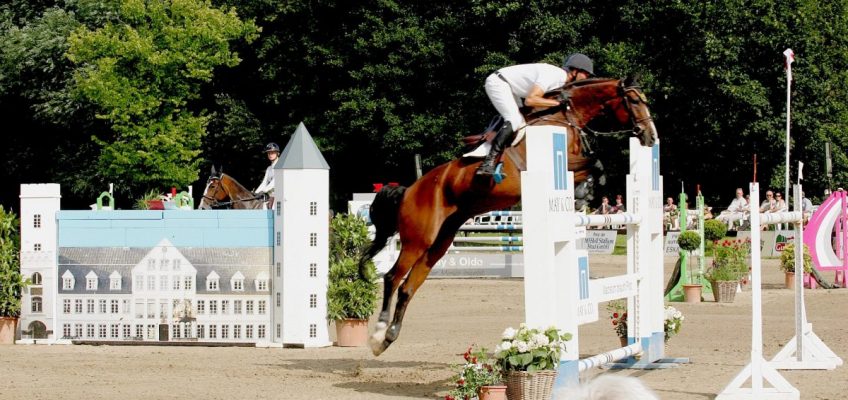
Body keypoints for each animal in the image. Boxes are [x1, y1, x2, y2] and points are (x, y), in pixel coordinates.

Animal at [358, 76, 656, 354]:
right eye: (635, 101)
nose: (651, 137)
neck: (565, 117)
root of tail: (409, 190)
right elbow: (596, 162)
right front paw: (584, 192)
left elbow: (594, 166)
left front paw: (583, 193)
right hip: (418, 239)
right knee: (392, 277)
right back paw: (378, 332)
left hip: (440, 242)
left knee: (408, 286)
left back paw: (388, 338)